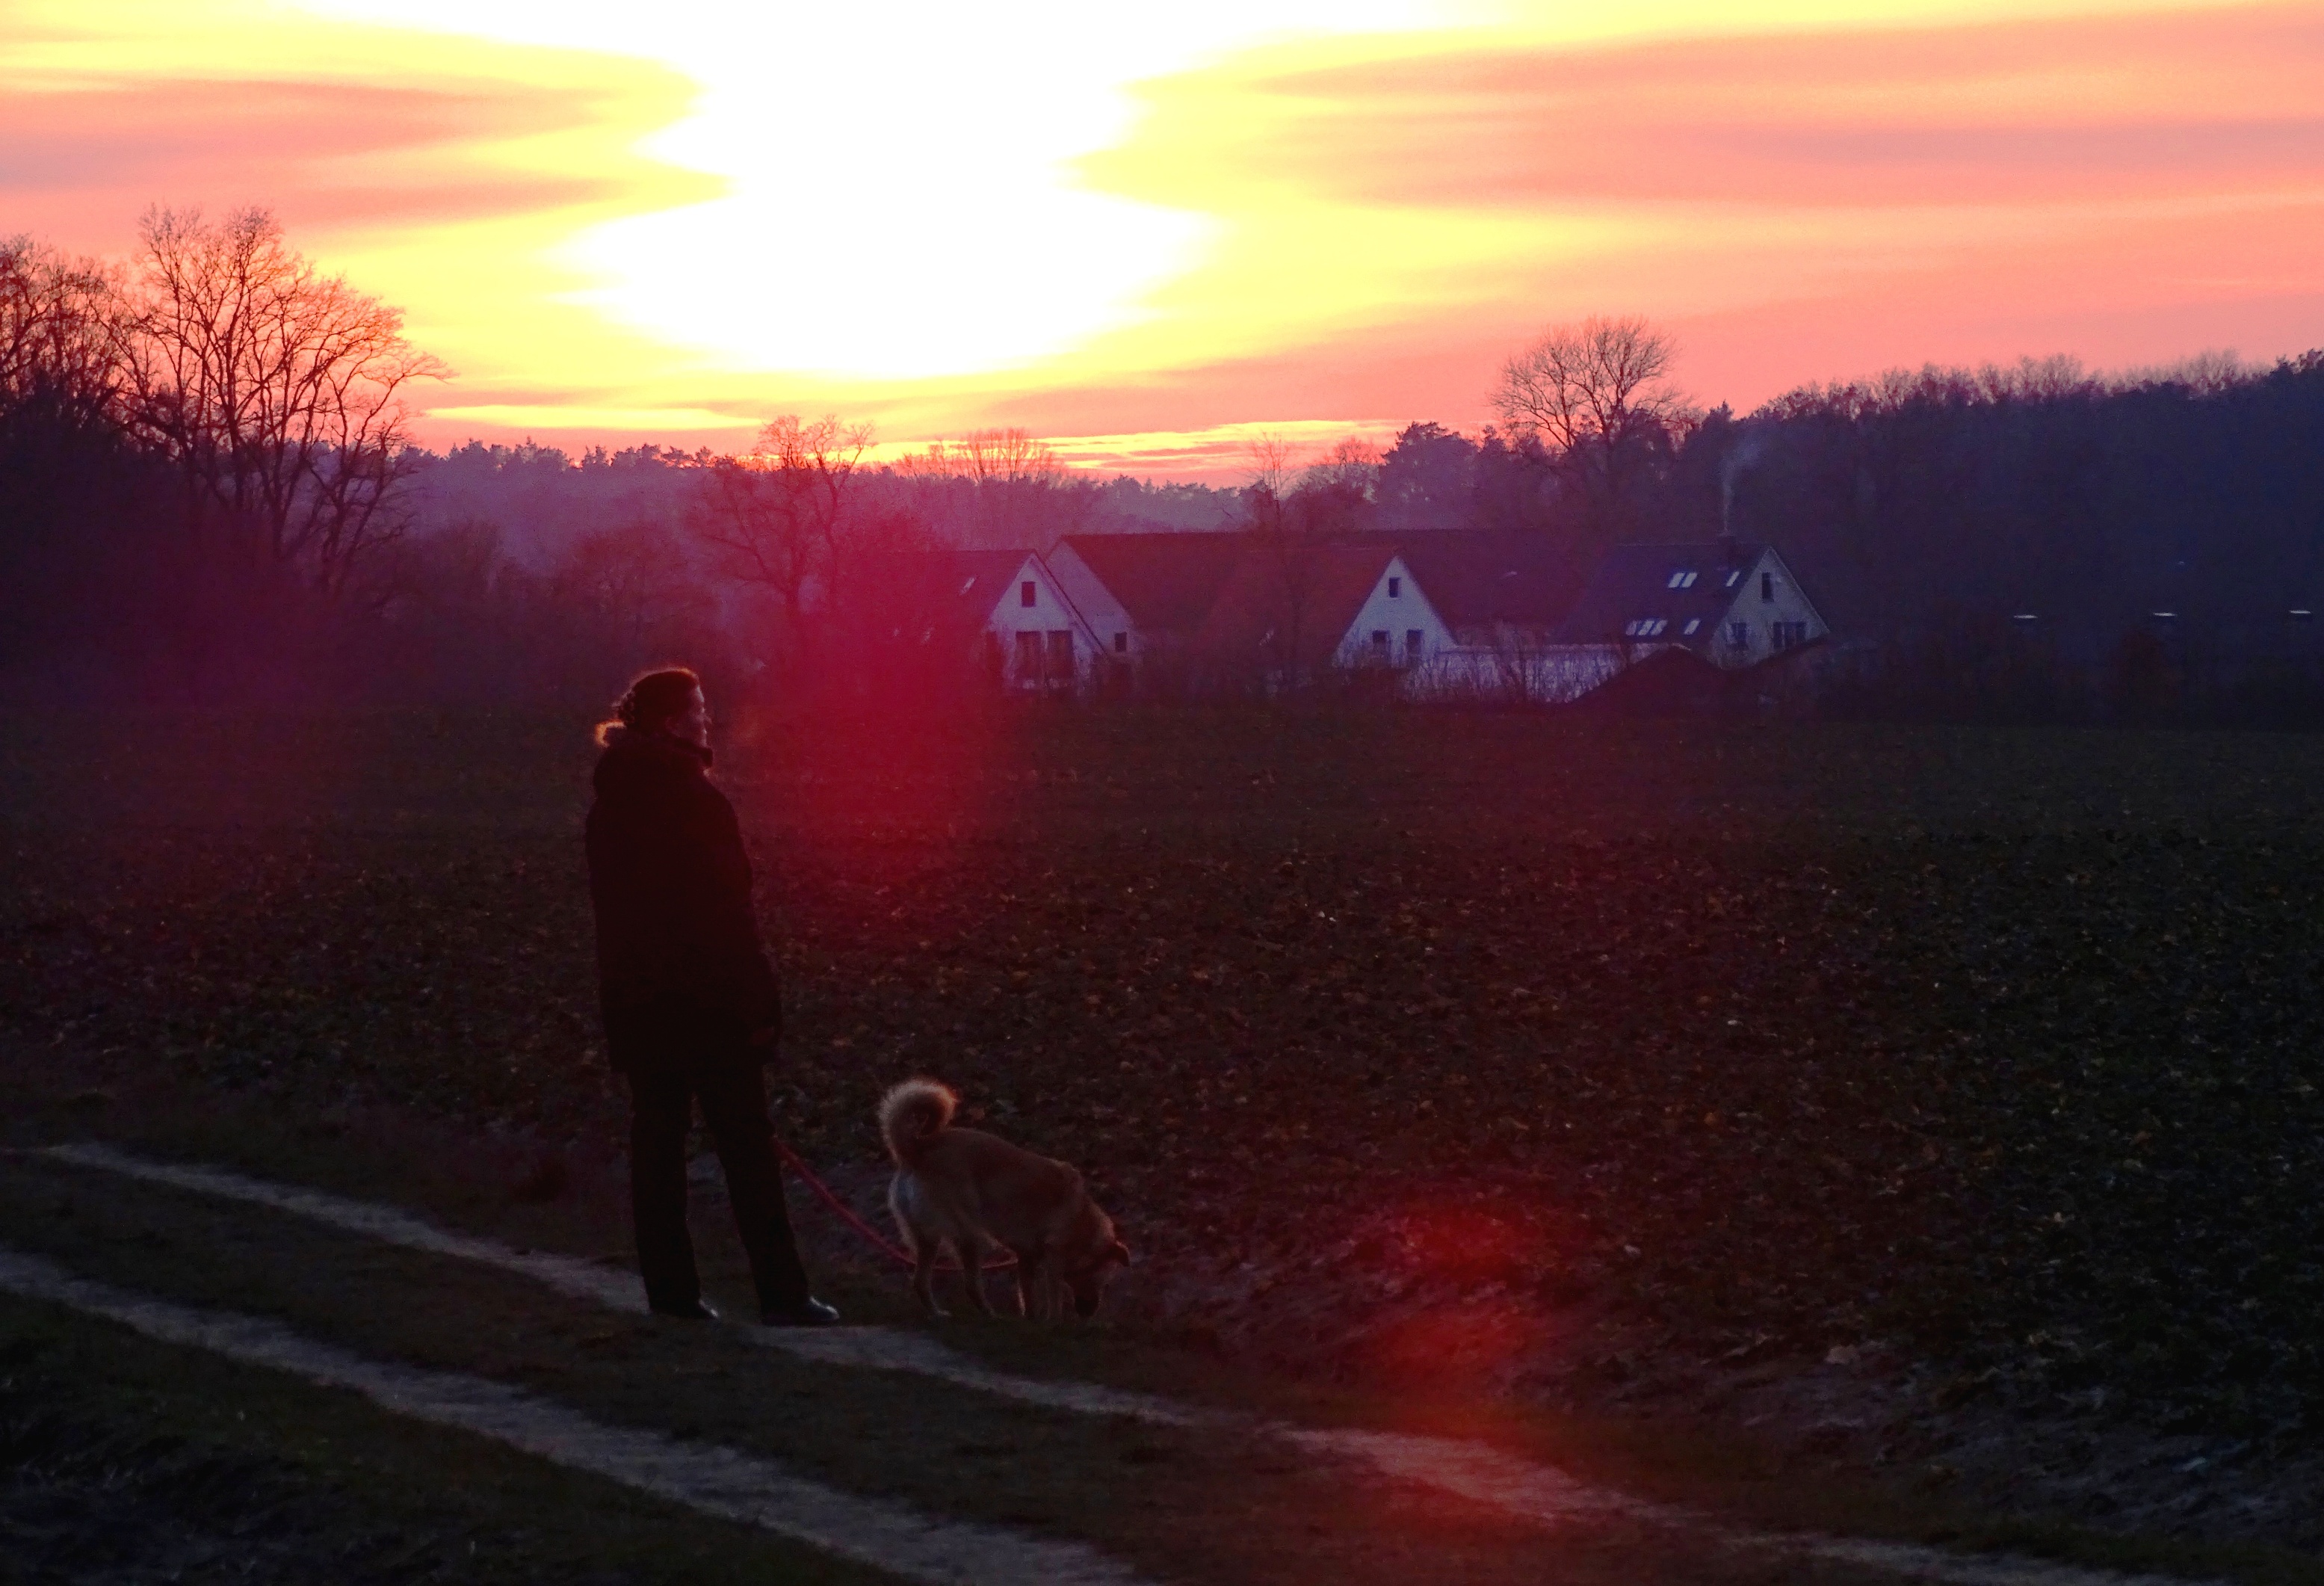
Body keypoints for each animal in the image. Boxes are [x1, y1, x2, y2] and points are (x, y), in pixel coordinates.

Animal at [874, 1074, 1129, 1321]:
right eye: (1103, 1283)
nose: (1090, 1314)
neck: (1082, 1218)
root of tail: (916, 1149)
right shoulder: (1053, 1258)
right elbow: (1053, 1295)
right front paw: (1054, 1322)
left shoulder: (1027, 1256)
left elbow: (1028, 1293)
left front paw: (1032, 1319)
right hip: (969, 1234)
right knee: (970, 1283)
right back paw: (989, 1314)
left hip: (928, 1237)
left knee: (920, 1281)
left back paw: (937, 1313)